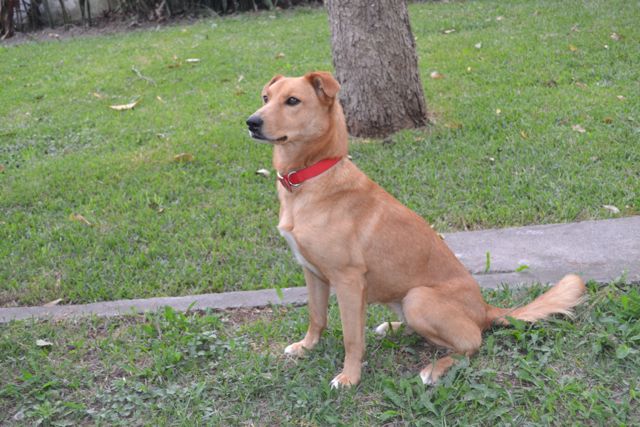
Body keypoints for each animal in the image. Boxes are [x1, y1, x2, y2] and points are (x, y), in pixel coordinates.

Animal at [246, 71, 586, 388]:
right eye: (266, 97)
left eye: (292, 101)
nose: (251, 122)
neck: (311, 179)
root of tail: (484, 308)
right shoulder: (313, 272)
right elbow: (316, 317)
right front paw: (306, 347)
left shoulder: (348, 280)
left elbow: (351, 338)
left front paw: (350, 377)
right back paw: (392, 327)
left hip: (418, 298)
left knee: (472, 342)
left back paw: (434, 370)